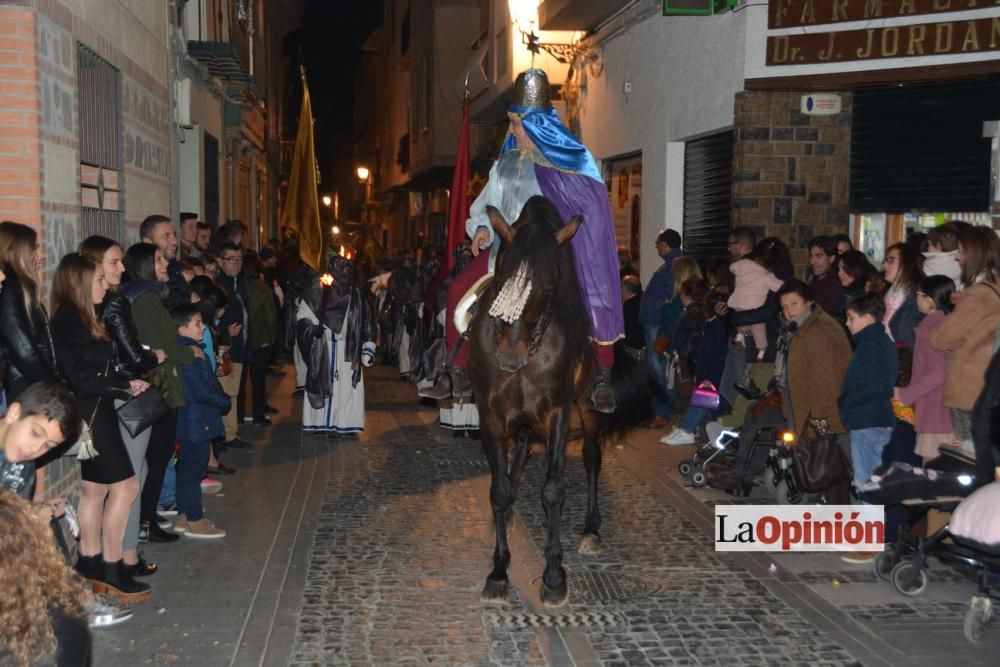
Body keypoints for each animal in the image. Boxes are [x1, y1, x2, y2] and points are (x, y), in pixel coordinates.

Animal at [470, 196, 656, 608]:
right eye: (502, 271)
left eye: (551, 281)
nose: (509, 357)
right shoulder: (491, 415)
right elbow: (499, 490)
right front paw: (498, 570)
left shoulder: (557, 413)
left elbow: (554, 490)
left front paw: (554, 576)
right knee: (522, 451)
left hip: (587, 412)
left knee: (591, 459)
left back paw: (590, 530)